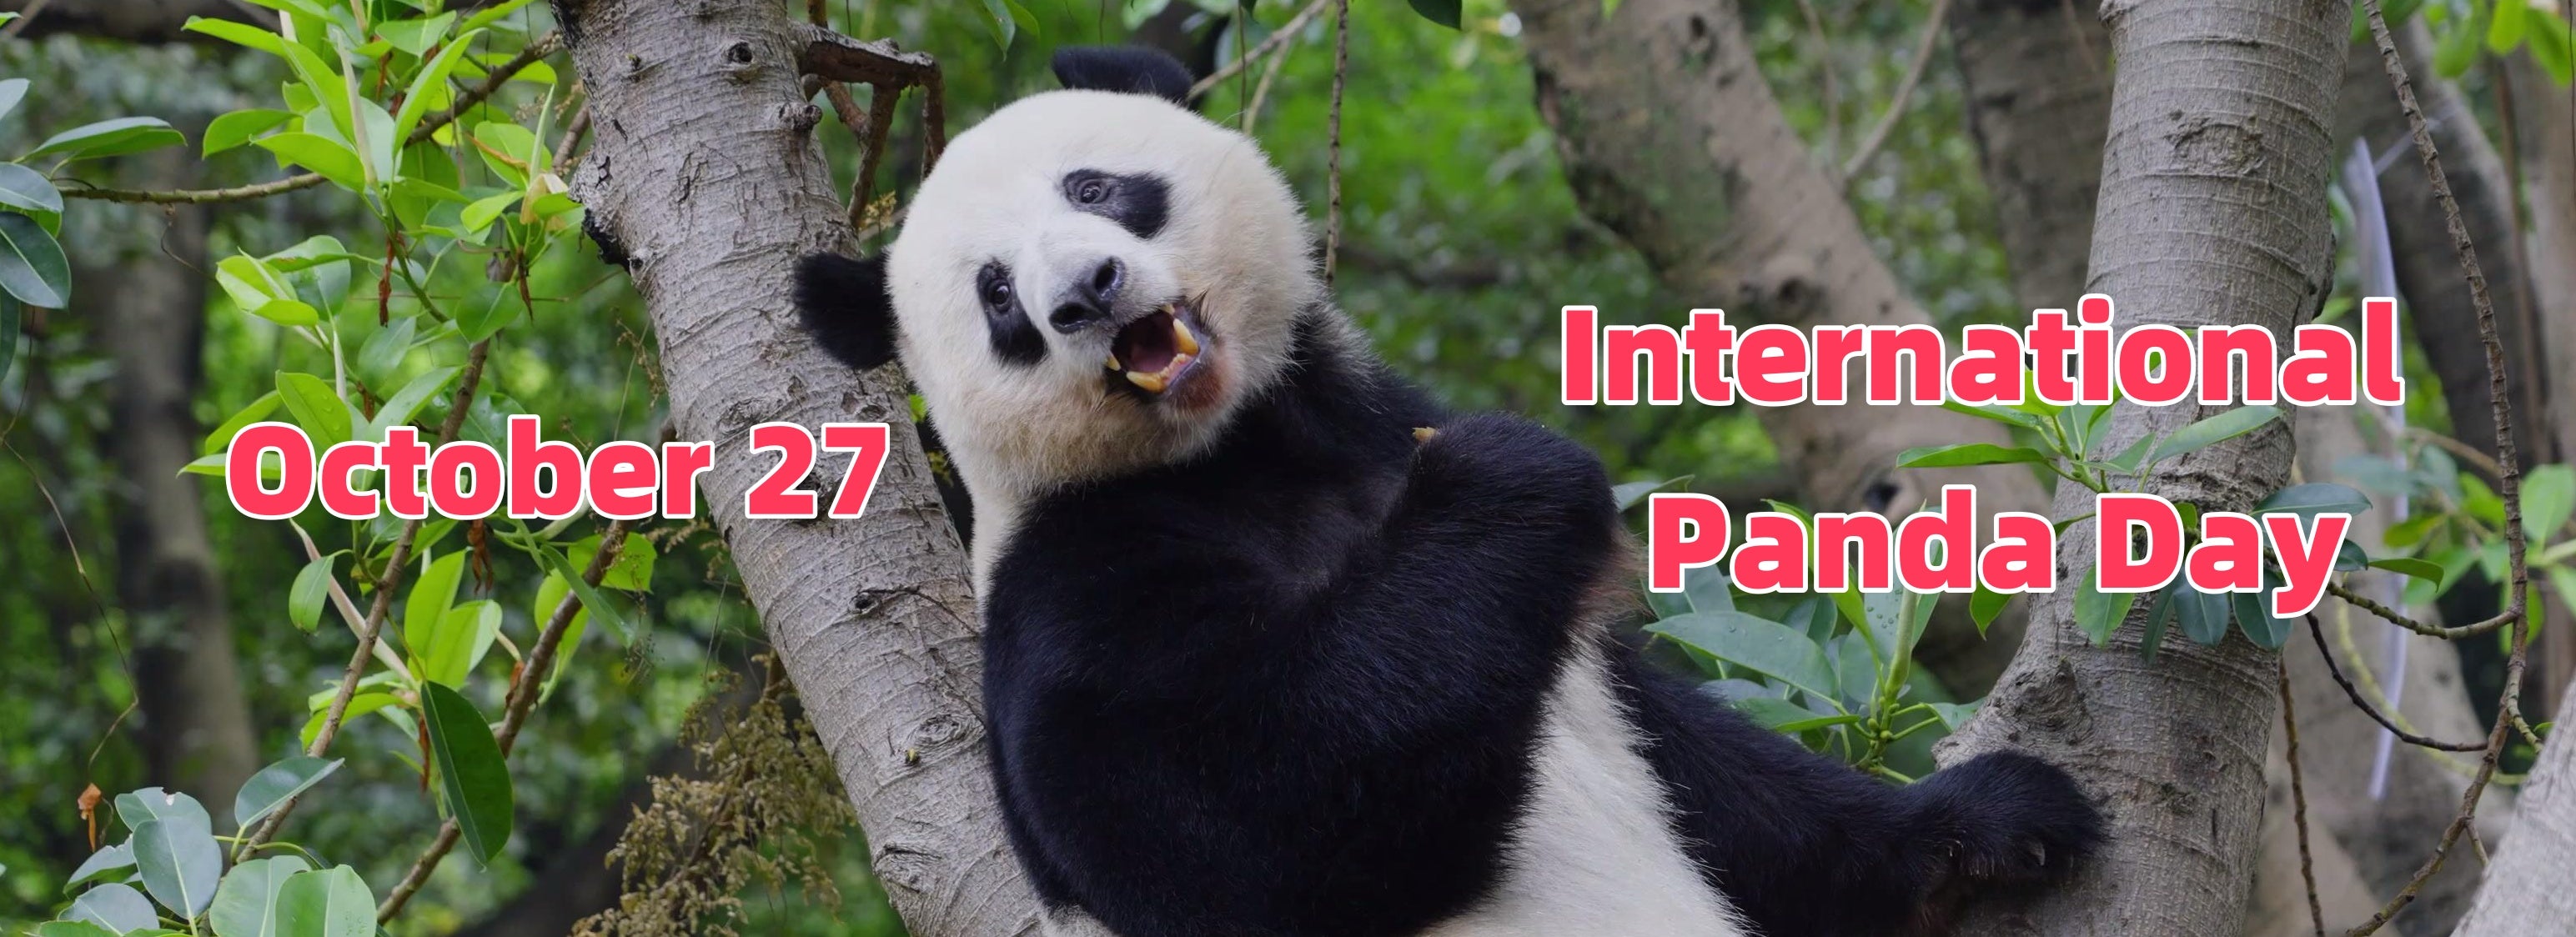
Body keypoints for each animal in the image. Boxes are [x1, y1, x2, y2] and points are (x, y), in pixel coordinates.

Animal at [792, 46, 2102, 937]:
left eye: (1097, 187)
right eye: (996, 297)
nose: (1085, 295)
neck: (1235, 451)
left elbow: (1713, 778)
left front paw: (1982, 832)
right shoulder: (1073, 581)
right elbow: (1243, 828)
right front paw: (1511, 475)